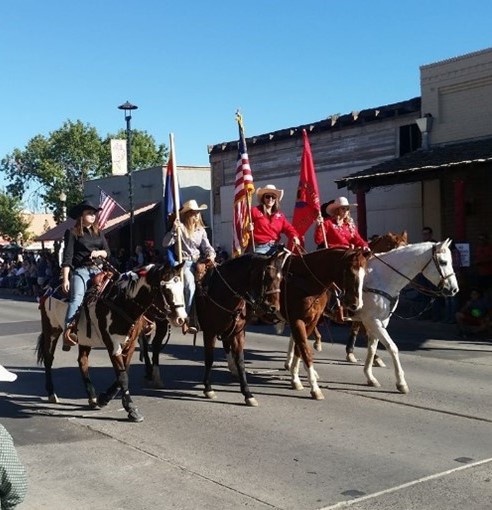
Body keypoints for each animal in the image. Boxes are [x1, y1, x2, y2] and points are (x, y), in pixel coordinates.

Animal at [36, 262, 186, 422]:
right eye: (166, 290)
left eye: (181, 288)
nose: (181, 319)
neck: (121, 303)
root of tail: (49, 287)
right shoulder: (112, 345)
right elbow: (123, 377)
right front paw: (131, 409)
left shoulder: (130, 344)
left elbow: (123, 372)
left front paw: (104, 398)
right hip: (51, 329)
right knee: (49, 359)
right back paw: (52, 393)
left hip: (84, 338)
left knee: (82, 361)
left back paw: (92, 397)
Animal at [276, 247, 368, 398]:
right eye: (350, 272)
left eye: (364, 273)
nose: (356, 304)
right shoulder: (297, 320)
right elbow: (305, 350)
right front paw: (314, 387)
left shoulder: (312, 320)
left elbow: (300, 349)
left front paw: (296, 378)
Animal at [286, 240, 460, 394]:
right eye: (443, 262)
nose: (454, 290)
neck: (383, 279)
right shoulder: (372, 321)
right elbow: (392, 347)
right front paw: (401, 383)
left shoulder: (380, 321)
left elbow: (372, 347)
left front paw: (370, 376)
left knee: (296, 338)